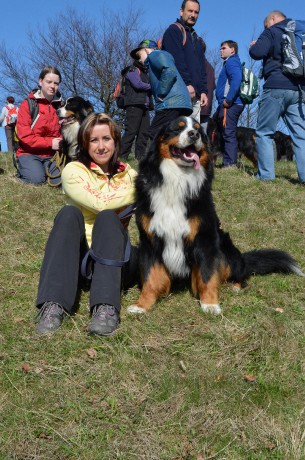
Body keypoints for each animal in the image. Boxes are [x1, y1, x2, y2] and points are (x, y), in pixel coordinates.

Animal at [126, 116, 302, 316]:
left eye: (198, 129)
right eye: (178, 128)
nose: (193, 134)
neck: (177, 179)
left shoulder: (205, 239)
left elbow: (207, 276)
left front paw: (210, 304)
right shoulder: (150, 240)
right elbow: (150, 277)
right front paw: (142, 304)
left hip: (225, 248)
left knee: (239, 274)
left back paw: (235, 286)